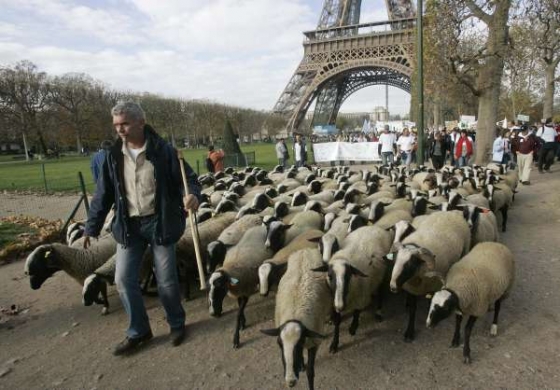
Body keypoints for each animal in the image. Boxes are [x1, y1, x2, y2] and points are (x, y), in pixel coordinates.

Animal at [262, 248, 334, 388]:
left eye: (299, 342)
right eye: (279, 343)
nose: (291, 381)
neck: (295, 315)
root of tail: (306, 249)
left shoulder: (313, 343)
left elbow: (310, 373)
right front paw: (300, 365)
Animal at [316, 225, 394, 354]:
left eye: (349, 276)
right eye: (330, 276)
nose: (339, 306)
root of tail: (374, 226)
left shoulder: (361, 296)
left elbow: (357, 312)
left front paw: (353, 328)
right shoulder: (334, 301)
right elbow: (337, 322)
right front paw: (334, 344)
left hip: (384, 272)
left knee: (381, 291)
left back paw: (378, 312)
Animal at [390, 212, 472, 342]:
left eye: (410, 264)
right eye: (395, 261)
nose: (392, 287)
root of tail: (451, 212)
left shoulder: (435, 284)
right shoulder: (411, 289)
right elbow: (412, 310)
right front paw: (409, 332)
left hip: (465, 247)